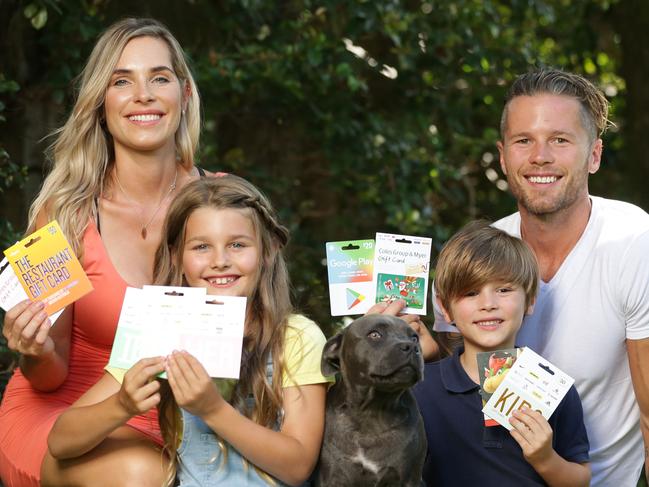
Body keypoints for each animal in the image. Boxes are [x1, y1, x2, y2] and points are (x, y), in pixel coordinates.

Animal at [314, 314, 426, 486]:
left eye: (415, 338)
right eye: (375, 334)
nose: (412, 347)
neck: (372, 411)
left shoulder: (410, 478)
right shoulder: (332, 478)